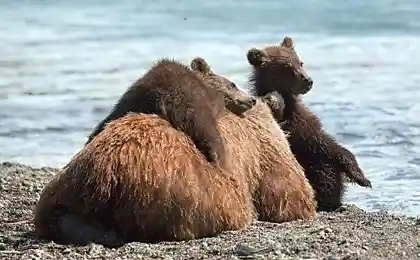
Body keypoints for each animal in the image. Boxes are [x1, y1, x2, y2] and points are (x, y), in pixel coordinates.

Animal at [85, 57, 256, 169]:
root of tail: (161, 97)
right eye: (233, 84)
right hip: (190, 104)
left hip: (129, 102)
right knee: (208, 132)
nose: (252, 99)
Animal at [248, 35, 372, 212]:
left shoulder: (302, 124)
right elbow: (330, 147)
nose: (308, 81)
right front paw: (362, 178)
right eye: (286, 67)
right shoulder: (301, 129)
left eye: (300, 62)